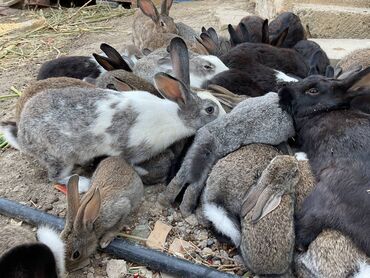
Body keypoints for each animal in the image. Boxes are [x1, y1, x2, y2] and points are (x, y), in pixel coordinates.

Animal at [1, 64, 224, 192]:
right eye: (210, 109)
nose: (225, 116)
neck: (175, 116)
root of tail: (23, 137)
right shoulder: (131, 151)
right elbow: (131, 163)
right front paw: (142, 172)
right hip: (59, 157)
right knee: (55, 177)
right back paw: (82, 183)